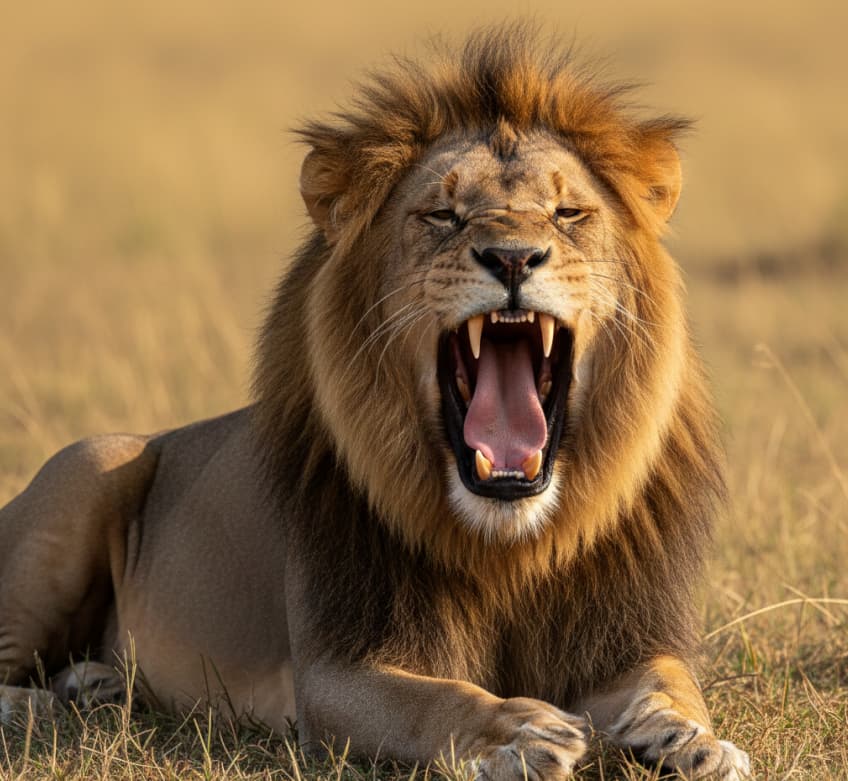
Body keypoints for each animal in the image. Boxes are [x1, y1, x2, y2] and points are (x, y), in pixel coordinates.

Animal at [0, 25, 750, 780]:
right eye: (443, 215)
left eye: (568, 214)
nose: (512, 257)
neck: (508, 546)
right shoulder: (332, 670)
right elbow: (431, 698)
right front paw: (518, 731)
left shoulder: (623, 636)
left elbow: (671, 681)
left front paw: (692, 739)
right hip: (86, 467)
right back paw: (45, 703)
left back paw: (95, 681)